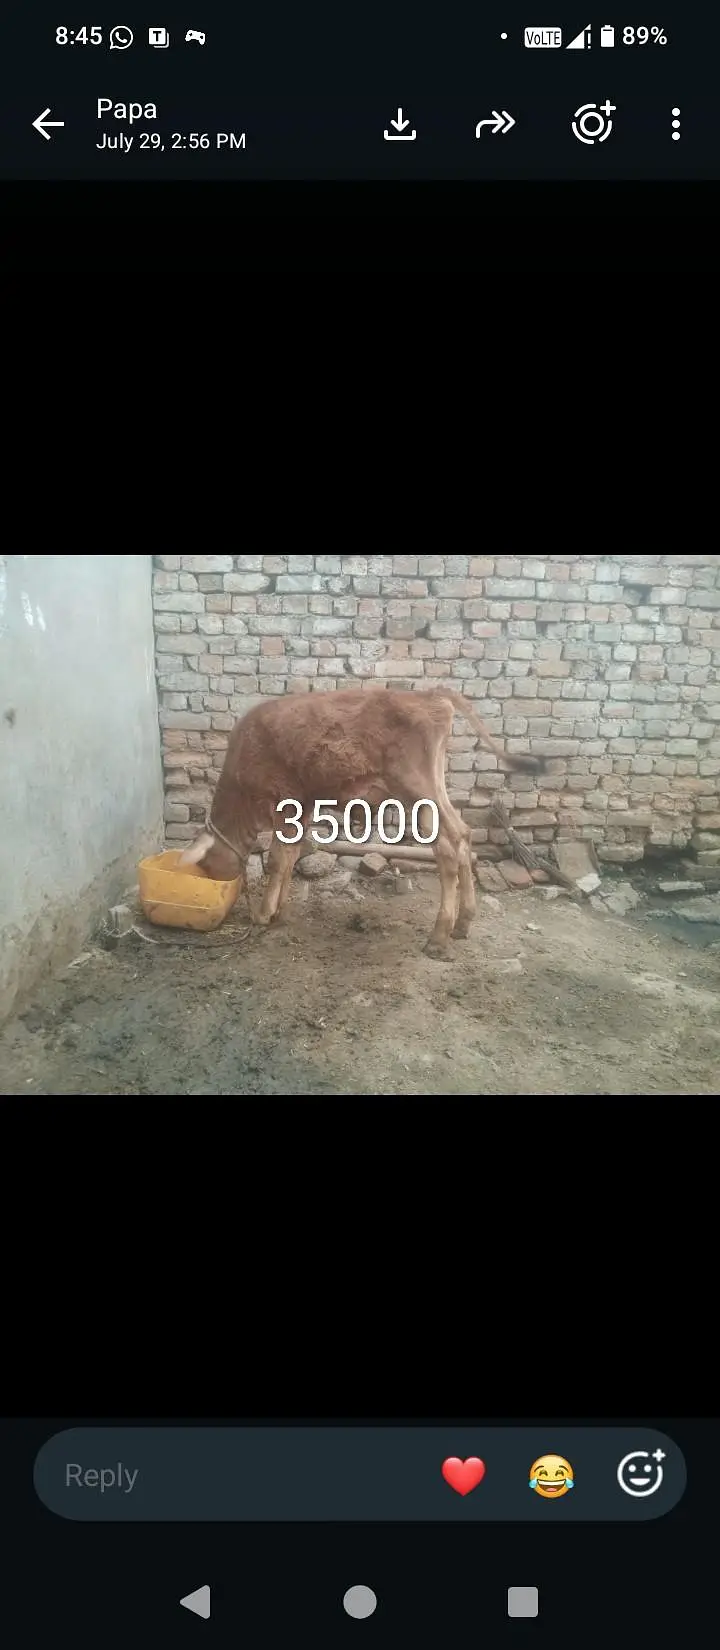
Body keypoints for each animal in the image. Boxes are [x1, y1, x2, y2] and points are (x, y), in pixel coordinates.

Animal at [178, 689, 543, 958]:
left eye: (207, 866)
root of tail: (428, 693)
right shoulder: (303, 806)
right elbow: (292, 856)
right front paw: (281, 912)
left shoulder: (283, 799)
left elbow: (278, 860)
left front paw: (263, 914)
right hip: (434, 788)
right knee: (463, 834)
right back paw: (463, 923)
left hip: (415, 788)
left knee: (446, 849)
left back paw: (439, 937)